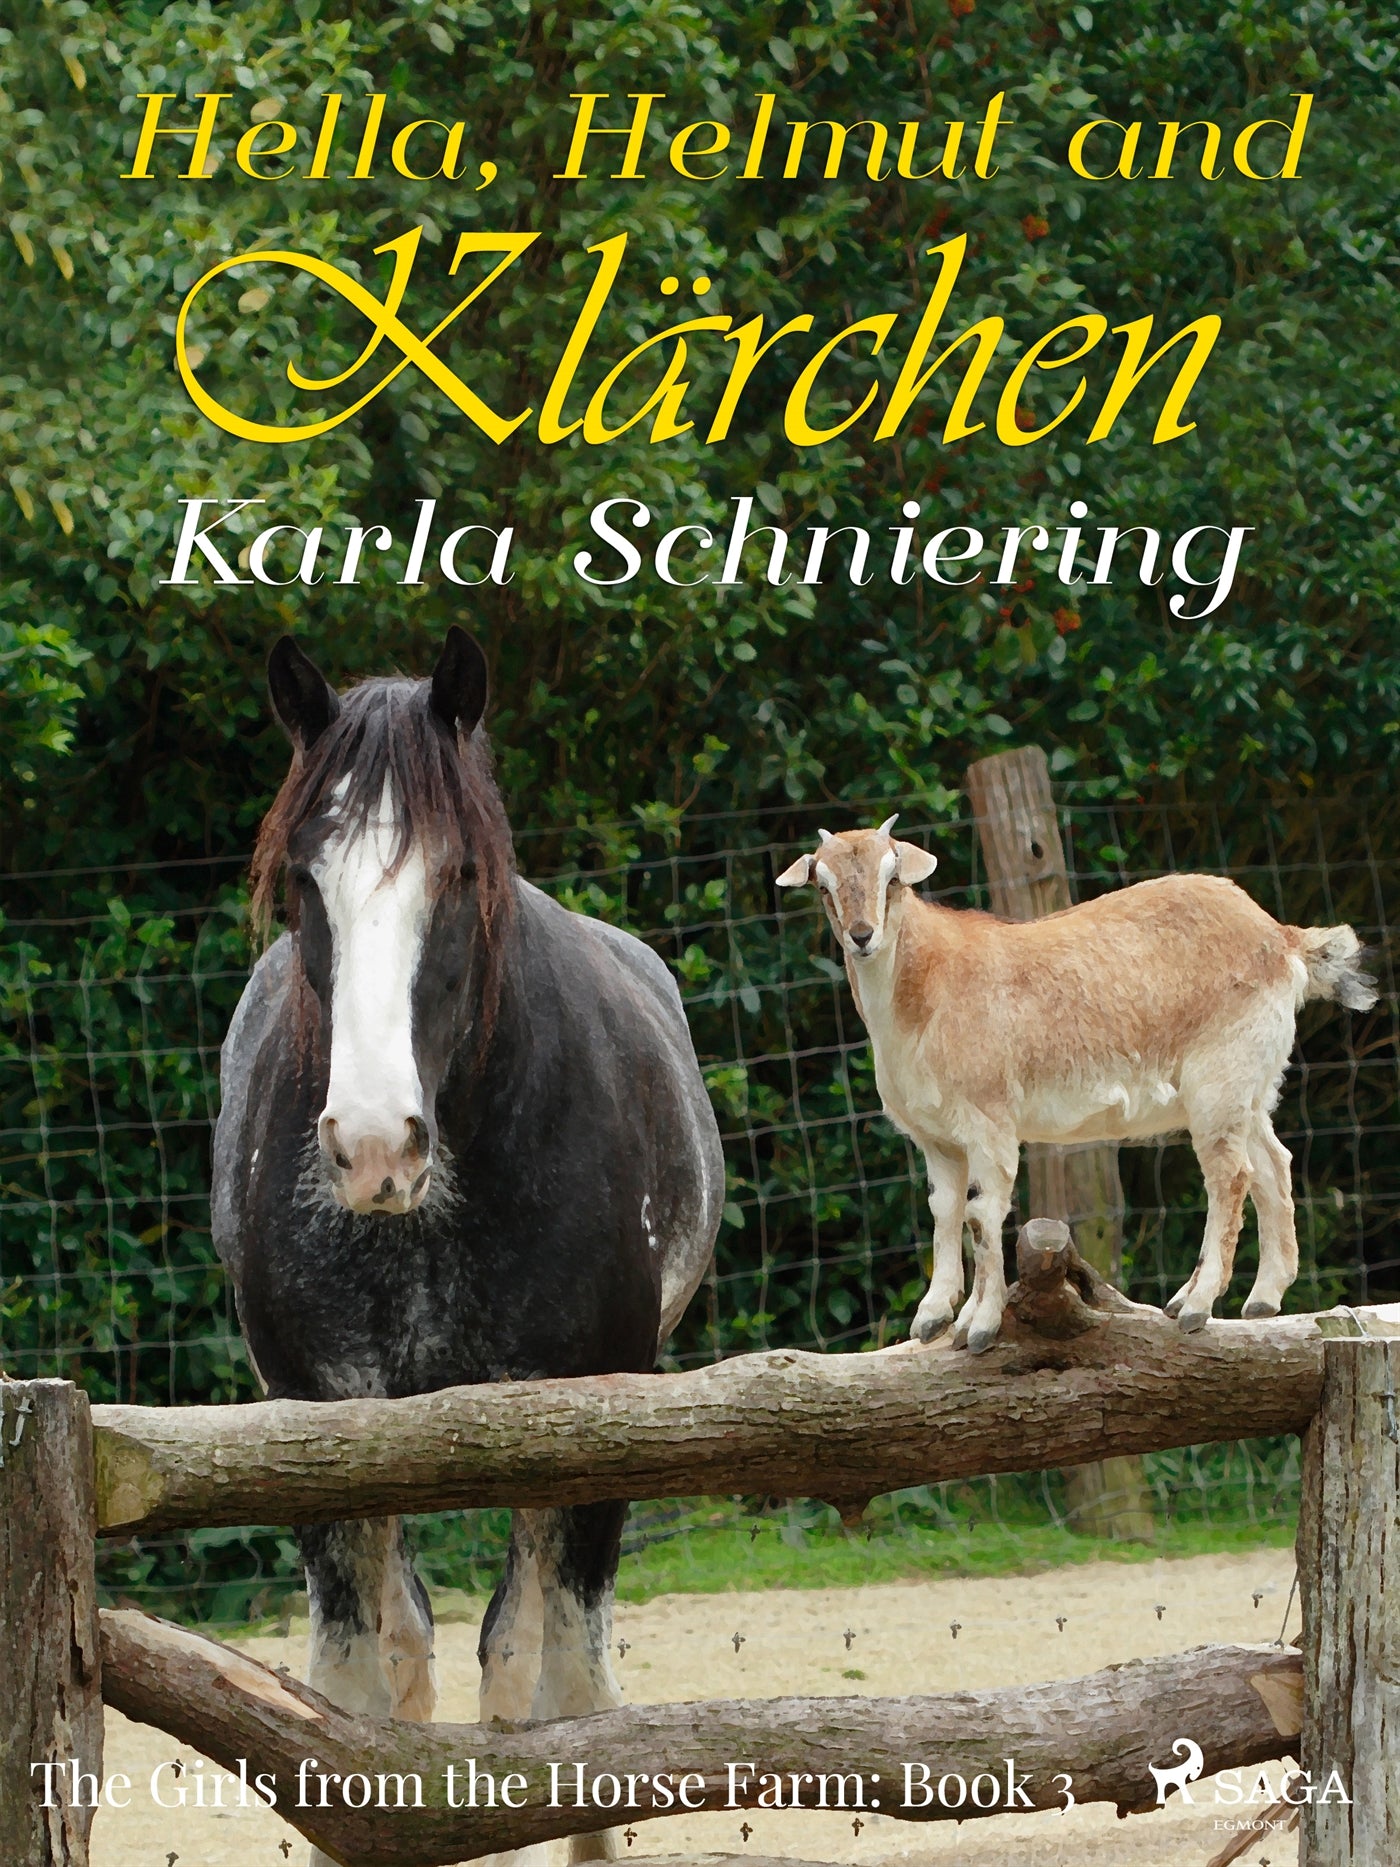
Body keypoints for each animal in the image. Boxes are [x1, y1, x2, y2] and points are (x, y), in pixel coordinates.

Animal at [211, 628, 724, 1864]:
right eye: (303, 881)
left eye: (457, 876)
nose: (372, 1143)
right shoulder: (316, 1425)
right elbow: (352, 1694)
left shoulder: (590, 1425)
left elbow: (558, 1692)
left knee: (535, 1658)